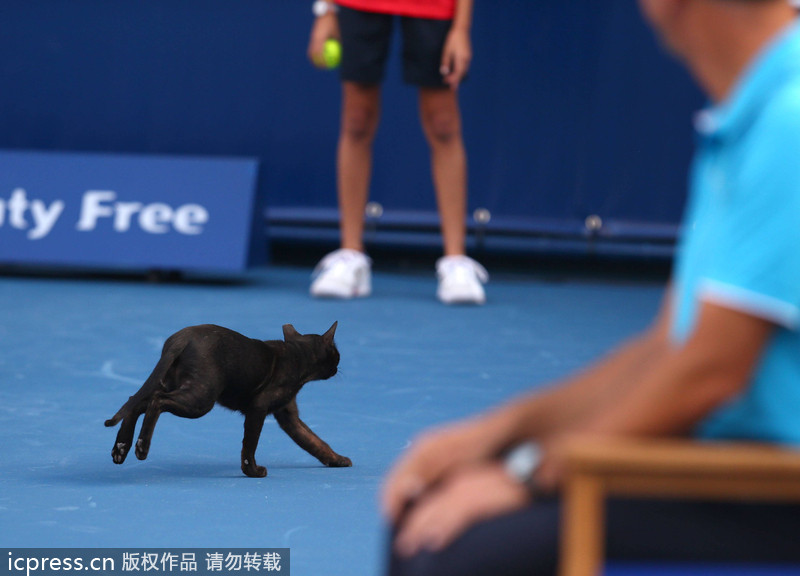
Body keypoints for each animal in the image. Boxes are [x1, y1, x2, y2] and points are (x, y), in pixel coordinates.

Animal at [102, 320, 350, 476]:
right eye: (337, 353)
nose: (338, 367)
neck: (297, 356)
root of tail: (180, 339)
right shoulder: (259, 409)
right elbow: (250, 444)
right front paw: (253, 472)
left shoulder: (288, 416)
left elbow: (314, 441)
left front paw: (338, 459)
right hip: (201, 399)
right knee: (156, 401)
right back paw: (141, 447)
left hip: (175, 385)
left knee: (136, 401)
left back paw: (121, 449)